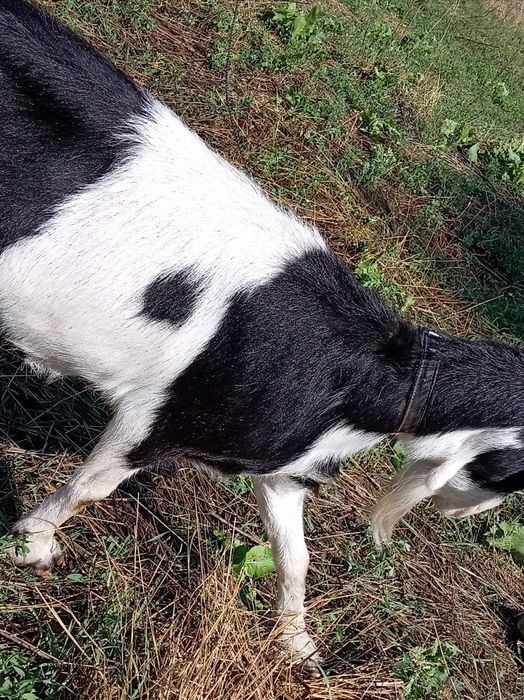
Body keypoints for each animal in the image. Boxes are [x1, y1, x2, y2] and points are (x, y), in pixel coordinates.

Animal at [0, 0, 523, 670]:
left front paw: (299, 644)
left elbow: (295, 553)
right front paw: (32, 547)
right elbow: (92, 488)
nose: (474, 513)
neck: (359, 377)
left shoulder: (279, 463)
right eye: (516, 472)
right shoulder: (156, 417)